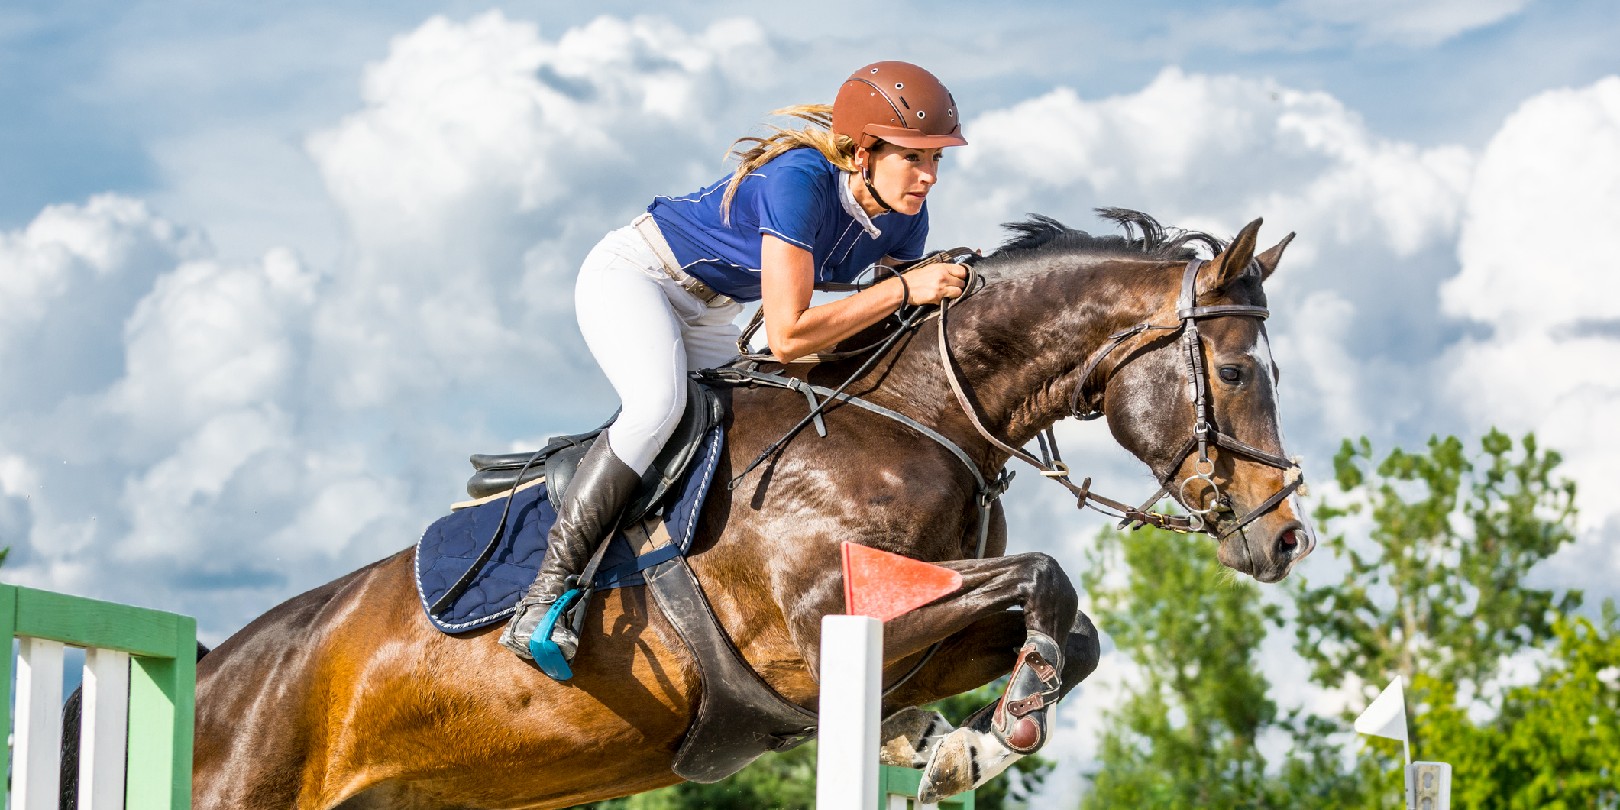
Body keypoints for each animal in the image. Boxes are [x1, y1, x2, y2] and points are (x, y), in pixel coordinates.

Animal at [183, 210, 1315, 810]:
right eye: (1233, 368)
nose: (1285, 536)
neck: (916, 413)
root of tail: (216, 667)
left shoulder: (915, 634)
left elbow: (1071, 630)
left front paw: (960, 746)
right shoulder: (819, 628)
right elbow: (1048, 578)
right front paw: (1004, 720)